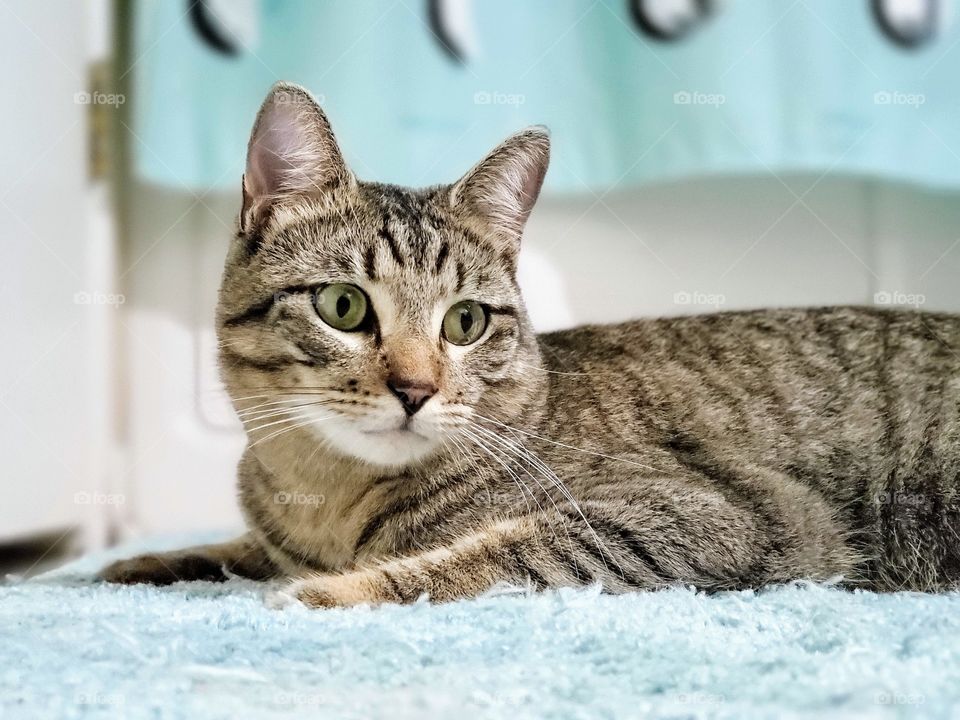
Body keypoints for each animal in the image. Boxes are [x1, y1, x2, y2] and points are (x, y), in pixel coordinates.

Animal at [99, 81, 960, 604]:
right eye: (343, 306)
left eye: (465, 322)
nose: (415, 389)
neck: (326, 498)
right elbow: (235, 546)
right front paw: (140, 564)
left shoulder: (706, 517)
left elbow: (485, 556)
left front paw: (325, 592)